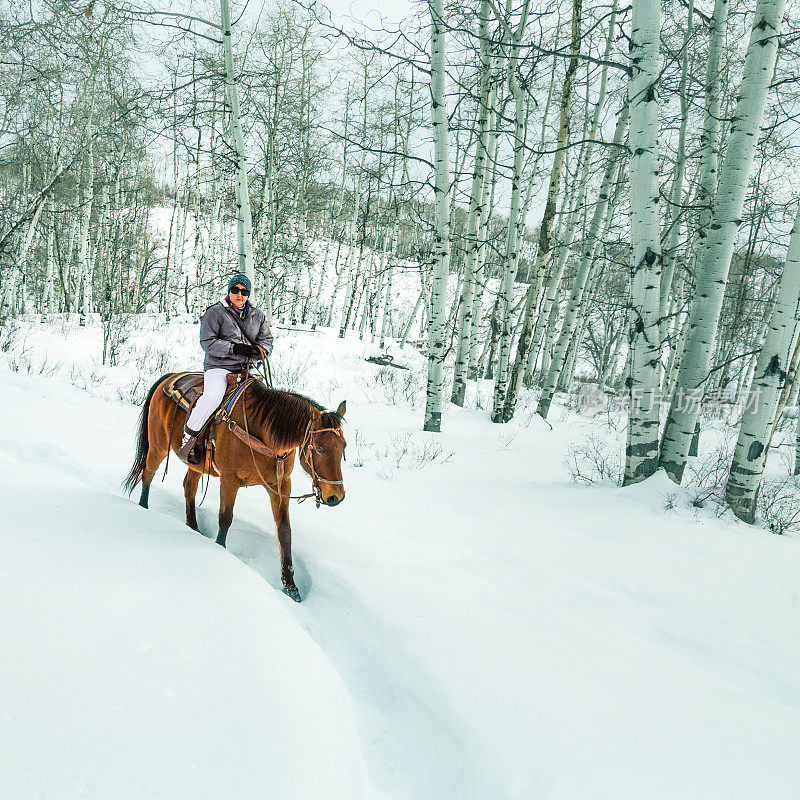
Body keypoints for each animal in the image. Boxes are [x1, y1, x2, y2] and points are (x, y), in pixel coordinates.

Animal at [123, 376, 346, 600]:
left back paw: (193, 527)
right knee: (148, 474)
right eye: (319, 449)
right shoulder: (230, 480)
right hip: (158, 446)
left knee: (189, 488)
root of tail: (169, 377)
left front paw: (290, 587)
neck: (264, 434)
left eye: (343, 447)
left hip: (196, 465)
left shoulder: (281, 484)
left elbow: (284, 531)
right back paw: (143, 508)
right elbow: (225, 519)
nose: (336, 496)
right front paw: (220, 549)